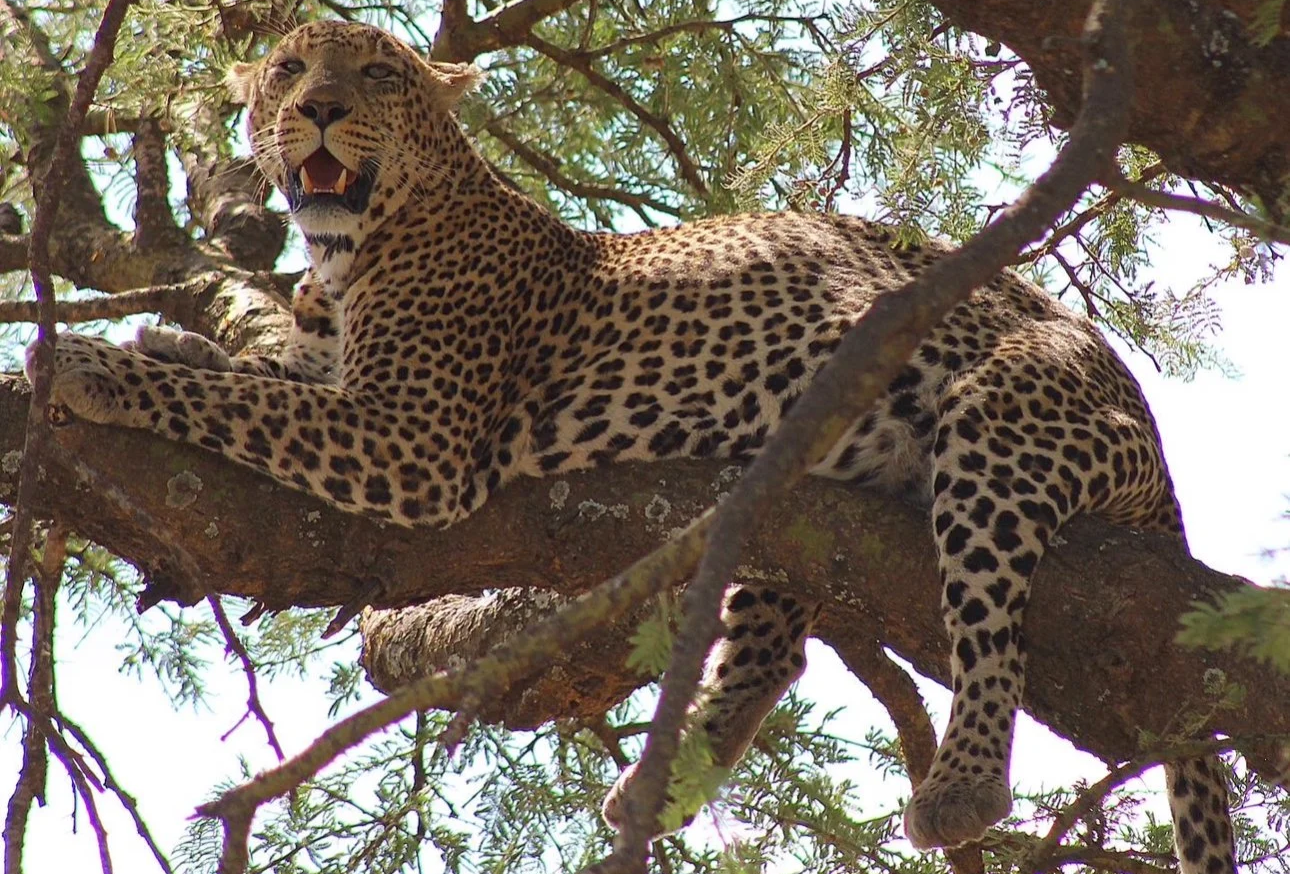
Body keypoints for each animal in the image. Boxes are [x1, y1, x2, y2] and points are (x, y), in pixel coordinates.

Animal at [28, 20, 1241, 874]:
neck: (354, 250)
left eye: (375, 75)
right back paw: (670, 778)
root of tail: (1143, 416)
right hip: (796, 504)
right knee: (777, 641)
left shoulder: (410, 436)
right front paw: (169, 331)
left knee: (987, 630)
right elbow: (257, 373)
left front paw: (92, 366)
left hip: (1004, 409)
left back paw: (961, 789)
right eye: (286, 69)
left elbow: (229, 401)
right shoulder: (353, 389)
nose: (318, 107)